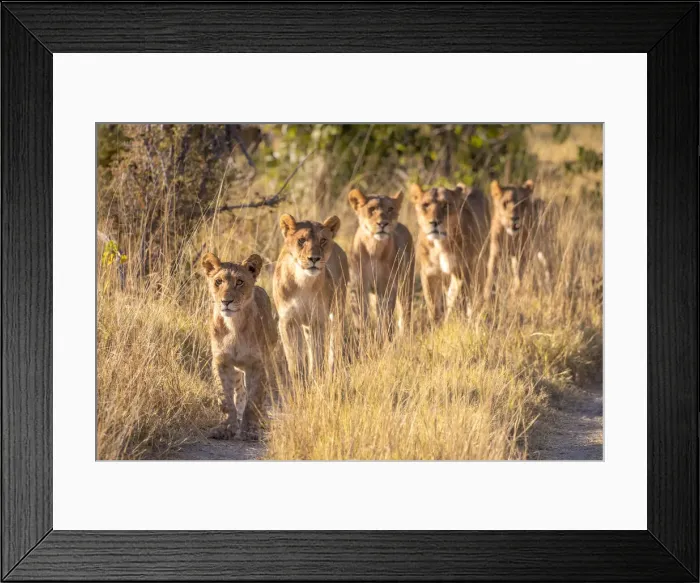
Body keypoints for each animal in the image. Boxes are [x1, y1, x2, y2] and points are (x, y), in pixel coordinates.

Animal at [201, 251, 279, 440]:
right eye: (218, 281)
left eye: (240, 282)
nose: (226, 301)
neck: (233, 325)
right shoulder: (221, 362)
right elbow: (225, 397)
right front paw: (226, 428)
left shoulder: (257, 364)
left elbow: (254, 398)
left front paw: (249, 430)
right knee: (240, 390)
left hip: (269, 357)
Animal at [273, 214, 348, 380]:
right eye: (301, 240)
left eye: (323, 240)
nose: (314, 258)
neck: (303, 282)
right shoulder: (288, 321)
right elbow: (294, 360)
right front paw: (299, 381)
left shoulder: (318, 320)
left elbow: (318, 356)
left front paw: (317, 378)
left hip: (337, 310)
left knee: (334, 341)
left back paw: (333, 368)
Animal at [347, 188, 414, 340]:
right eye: (371, 209)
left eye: (390, 209)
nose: (383, 224)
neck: (374, 248)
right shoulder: (358, 287)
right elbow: (361, 318)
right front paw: (364, 339)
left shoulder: (387, 287)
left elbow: (385, 317)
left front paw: (385, 340)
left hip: (406, 283)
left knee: (405, 311)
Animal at [411, 183, 490, 323]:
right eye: (425, 205)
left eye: (446, 205)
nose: (434, 222)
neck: (440, 245)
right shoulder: (429, 273)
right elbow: (433, 306)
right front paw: (436, 325)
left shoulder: (462, 271)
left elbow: (454, 300)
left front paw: (450, 322)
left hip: (480, 266)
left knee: (475, 296)